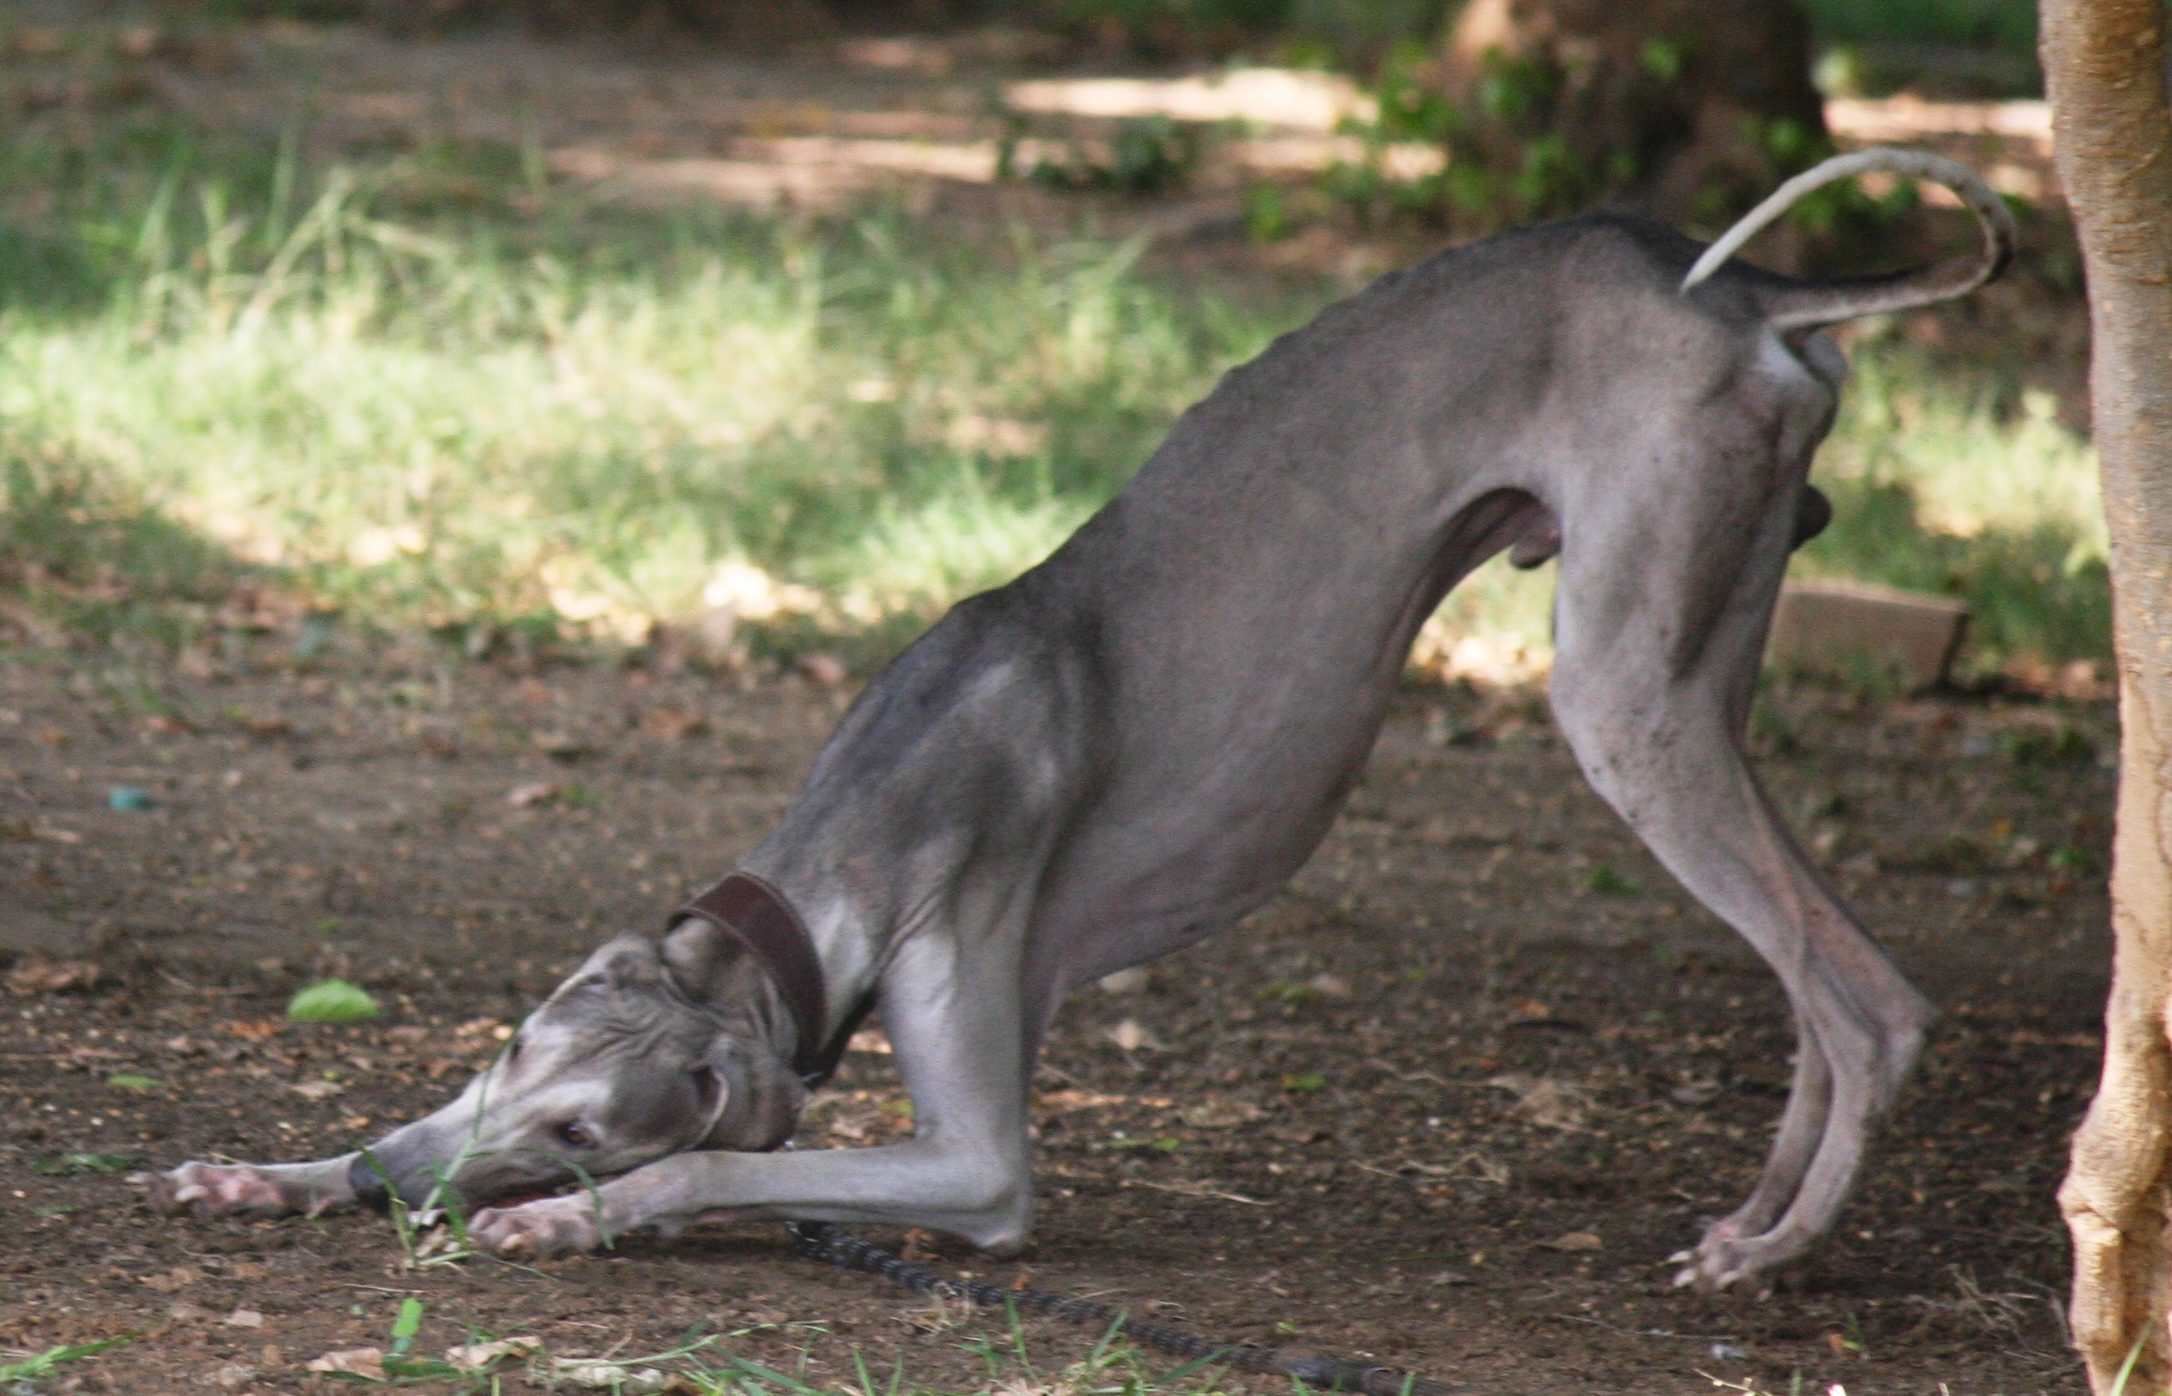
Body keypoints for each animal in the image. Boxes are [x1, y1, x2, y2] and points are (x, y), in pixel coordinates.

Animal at [169, 149, 2015, 1285]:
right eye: (502, 1055)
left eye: (576, 1130)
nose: (401, 1199)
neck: (853, 835)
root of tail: (1751, 292)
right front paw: (279, 1172)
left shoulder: (978, 1153)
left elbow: (718, 1166)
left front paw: (572, 1224)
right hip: (1709, 636)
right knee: (1807, 976)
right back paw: (1759, 1212)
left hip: (1619, 691)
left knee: (1871, 1001)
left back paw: (1770, 1251)